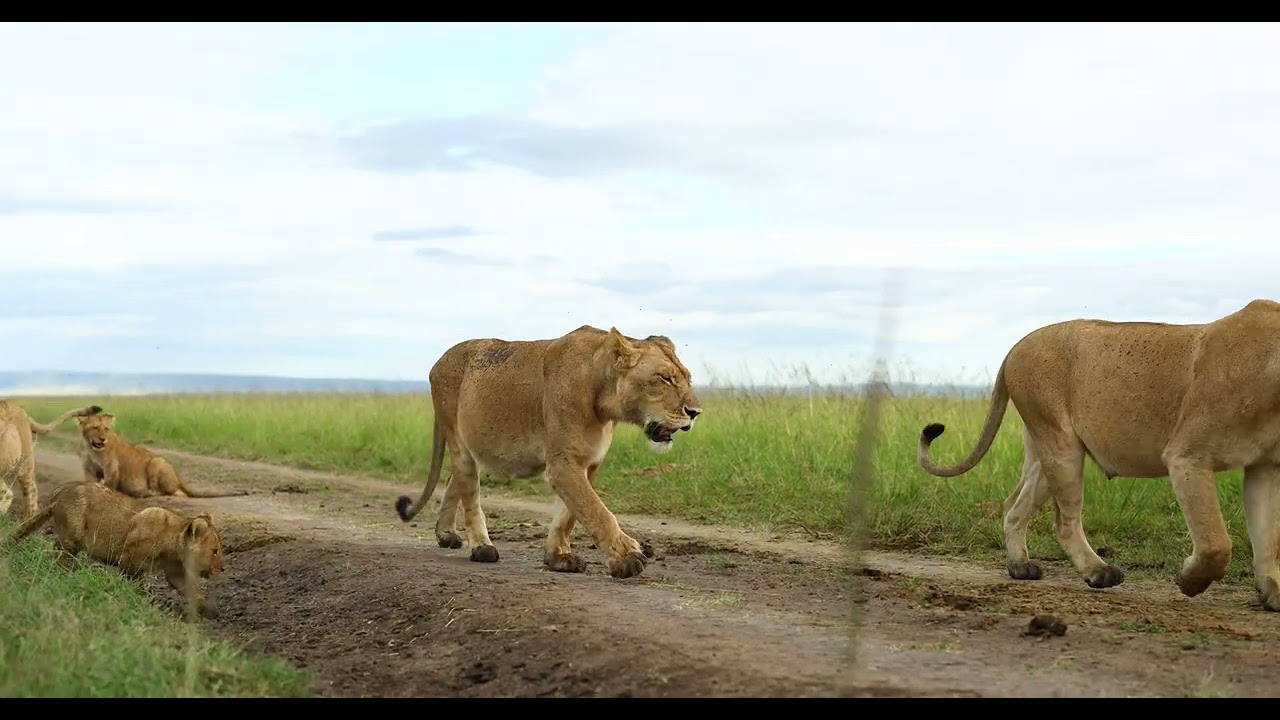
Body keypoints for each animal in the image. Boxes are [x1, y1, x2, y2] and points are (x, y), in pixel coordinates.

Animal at [4, 480, 226, 617]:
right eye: (214, 551)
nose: (222, 568)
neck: (173, 545)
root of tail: (59, 492)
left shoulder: (176, 572)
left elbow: (191, 591)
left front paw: (209, 610)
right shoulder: (129, 559)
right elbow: (137, 583)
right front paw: (142, 601)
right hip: (73, 535)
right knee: (59, 551)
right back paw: (73, 572)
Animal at [76, 413, 249, 499]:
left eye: (106, 428)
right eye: (95, 428)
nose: (102, 439)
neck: (93, 449)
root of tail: (178, 475)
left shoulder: (112, 468)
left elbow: (108, 484)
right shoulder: (89, 470)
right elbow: (88, 483)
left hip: (156, 462)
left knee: (174, 493)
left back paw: (142, 493)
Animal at [394, 325, 703, 579]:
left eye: (687, 378)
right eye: (664, 378)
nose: (695, 412)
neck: (603, 398)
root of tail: (439, 361)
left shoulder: (586, 463)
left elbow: (569, 515)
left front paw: (558, 558)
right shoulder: (562, 464)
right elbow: (597, 512)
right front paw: (625, 560)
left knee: (452, 480)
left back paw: (446, 535)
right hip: (459, 441)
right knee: (468, 489)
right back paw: (482, 547)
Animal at [917, 298, 1280, 612]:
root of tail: (1016, 347)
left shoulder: (1265, 468)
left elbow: (1267, 537)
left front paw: (1272, 591)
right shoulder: (1187, 456)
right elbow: (1215, 541)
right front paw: (1190, 582)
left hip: (1044, 452)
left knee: (1013, 505)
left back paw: (1020, 566)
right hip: (1060, 444)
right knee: (1064, 523)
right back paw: (1099, 572)